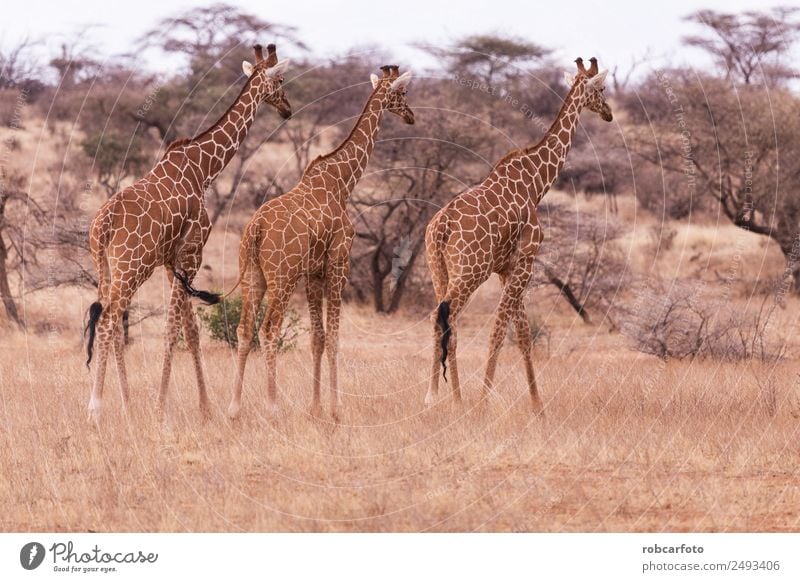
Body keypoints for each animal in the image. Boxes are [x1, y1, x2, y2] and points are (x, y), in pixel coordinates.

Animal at [83, 43, 294, 422]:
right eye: (281, 80)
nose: (287, 109)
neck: (205, 168)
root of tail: (101, 227)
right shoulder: (191, 252)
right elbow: (173, 330)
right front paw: (161, 407)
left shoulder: (172, 261)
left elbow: (191, 330)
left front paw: (205, 406)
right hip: (131, 267)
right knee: (107, 321)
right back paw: (96, 408)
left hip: (106, 267)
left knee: (112, 320)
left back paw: (126, 403)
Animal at [223, 65, 412, 420]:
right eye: (404, 93)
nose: (411, 116)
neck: (342, 182)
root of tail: (256, 228)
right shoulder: (339, 264)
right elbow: (335, 337)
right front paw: (336, 409)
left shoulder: (313, 273)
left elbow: (317, 338)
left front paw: (315, 407)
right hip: (282, 278)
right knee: (269, 330)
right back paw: (272, 407)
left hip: (253, 274)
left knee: (243, 329)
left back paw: (234, 408)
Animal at [424, 57, 612, 412]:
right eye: (603, 89)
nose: (609, 113)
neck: (536, 182)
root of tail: (441, 226)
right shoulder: (525, 261)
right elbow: (501, 330)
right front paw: (485, 400)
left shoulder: (506, 268)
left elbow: (523, 333)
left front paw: (538, 406)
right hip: (470, 271)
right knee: (444, 316)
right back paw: (438, 396)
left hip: (438, 269)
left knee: (444, 321)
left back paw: (450, 398)